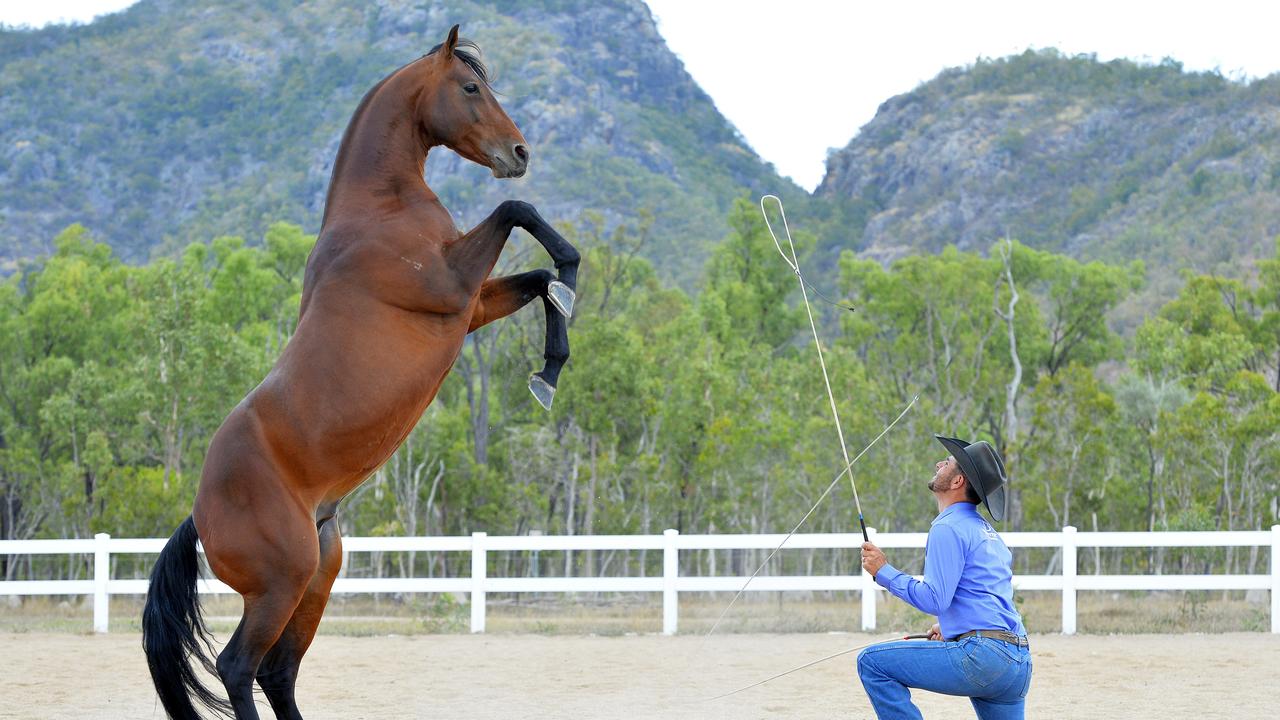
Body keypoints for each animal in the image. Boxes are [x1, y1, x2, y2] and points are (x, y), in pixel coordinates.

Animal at [142, 25, 578, 712]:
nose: (520, 151)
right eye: (470, 87)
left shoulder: (470, 306)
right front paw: (571, 274)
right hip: (281, 584)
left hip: (319, 575)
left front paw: (550, 368)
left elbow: (535, 280)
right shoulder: (452, 287)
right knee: (239, 666)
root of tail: (199, 511)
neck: (379, 209)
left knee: (278, 671)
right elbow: (518, 210)